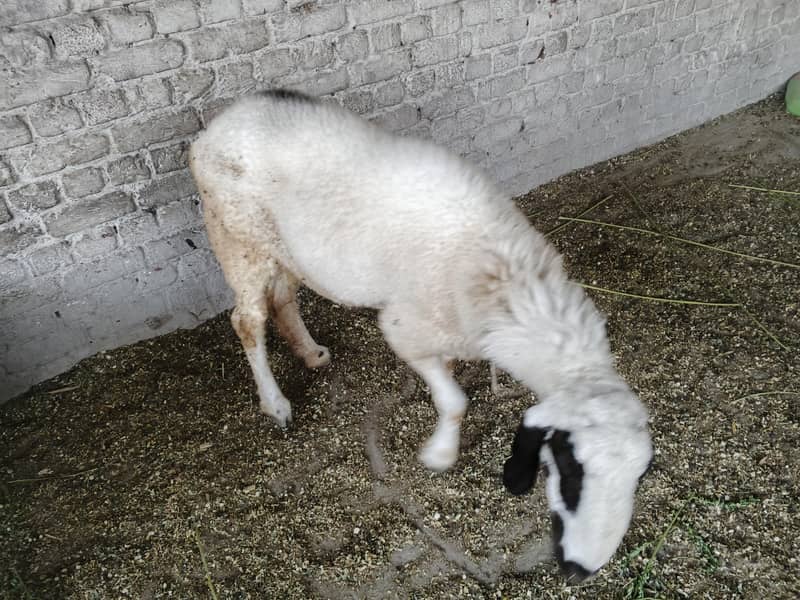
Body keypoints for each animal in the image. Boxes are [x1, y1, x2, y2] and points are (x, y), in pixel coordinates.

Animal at [188, 89, 653, 580]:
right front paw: (440, 455)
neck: (502, 278)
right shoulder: (404, 330)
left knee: (283, 297)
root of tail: (217, 126)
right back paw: (275, 403)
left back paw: (311, 353)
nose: (581, 569)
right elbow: (453, 402)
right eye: (570, 470)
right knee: (247, 319)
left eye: (641, 476)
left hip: (286, 247)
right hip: (237, 240)